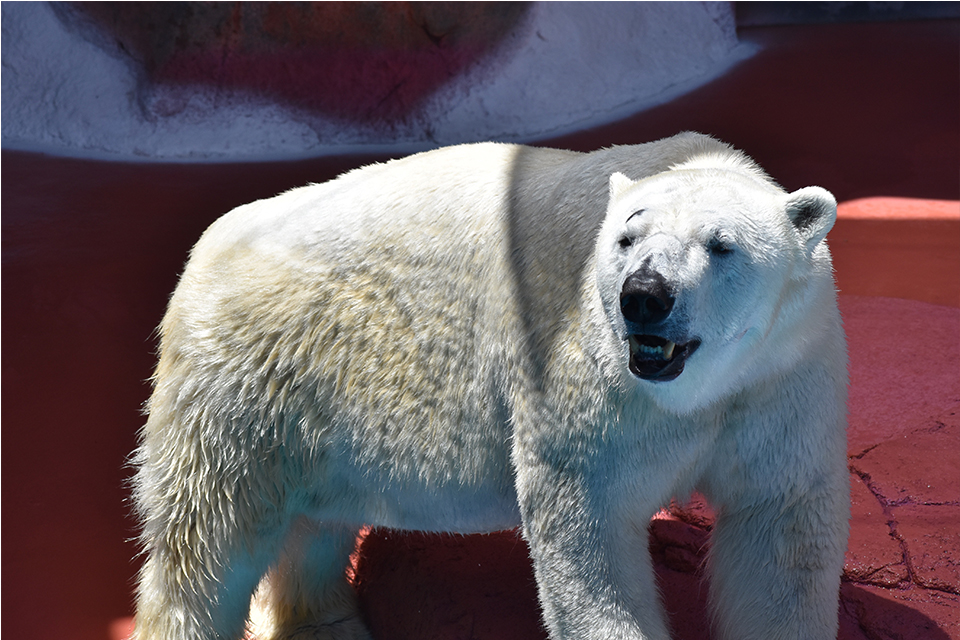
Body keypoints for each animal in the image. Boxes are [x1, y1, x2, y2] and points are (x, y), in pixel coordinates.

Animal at [129, 131, 848, 640]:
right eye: (627, 237)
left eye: (722, 245)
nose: (644, 295)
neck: (698, 386)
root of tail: (206, 251)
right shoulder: (585, 372)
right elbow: (587, 527)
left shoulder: (782, 372)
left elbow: (780, 526)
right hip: (244, 380)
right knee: (209, 542)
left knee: (313, 524)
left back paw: (327, 627)